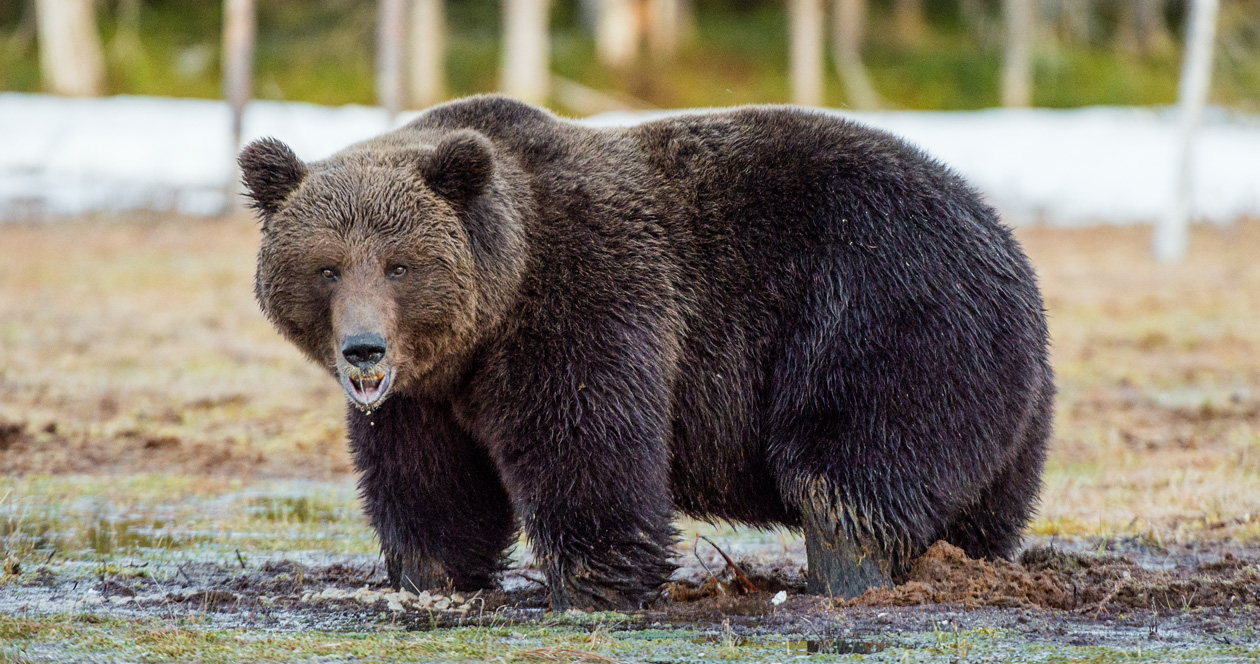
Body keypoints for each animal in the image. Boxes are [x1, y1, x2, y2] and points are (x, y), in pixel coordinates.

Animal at [238, 95, 1053, 612]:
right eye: (327, 267)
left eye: (399, 265)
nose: (363, 350)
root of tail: (1003, 239)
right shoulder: (425, 396)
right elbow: (431, 485)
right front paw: (427, 577)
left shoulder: (587, 298)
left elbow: (586, 440)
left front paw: (594, 584)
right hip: (1005, 398)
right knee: (982, 500)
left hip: (880, 311)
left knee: (848, 461)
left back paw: (846, 573)